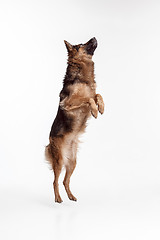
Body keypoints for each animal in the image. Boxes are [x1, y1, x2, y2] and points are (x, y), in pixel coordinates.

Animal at [45, 37, 105, 202]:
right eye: (82, 45)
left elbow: (97, 95)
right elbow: (88, 99)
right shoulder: (68, 103)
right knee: (55, 181)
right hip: (59, 161)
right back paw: (58, 199)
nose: (94, 37)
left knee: (65, 181)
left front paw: (101, 108)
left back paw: (71, 196)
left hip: (72, 162)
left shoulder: (93, 93)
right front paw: (95, 111)